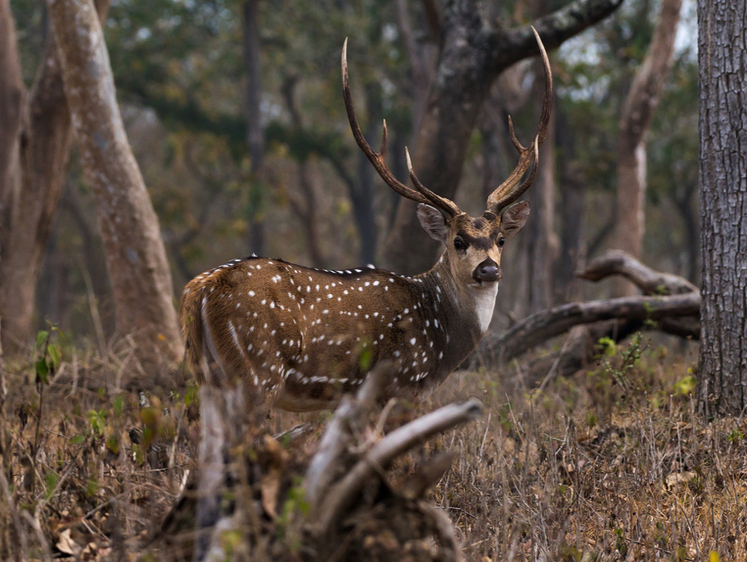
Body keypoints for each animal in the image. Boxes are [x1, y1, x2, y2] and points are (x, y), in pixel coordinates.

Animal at [180, 28, 552, 410]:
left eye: (501, 238)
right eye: (457, 241)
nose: (488, 269)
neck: (442, 340)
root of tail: (200, 287)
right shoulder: (400, 383)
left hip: (209, 374)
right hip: (258, 368)